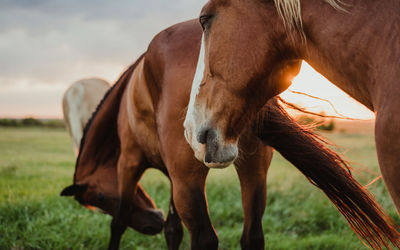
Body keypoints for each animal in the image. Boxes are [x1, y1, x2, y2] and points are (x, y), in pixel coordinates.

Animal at [62, 18, 400, 249]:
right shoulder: (172, 177)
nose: (152, 221)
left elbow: (118, 223)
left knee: (205, 239)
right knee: (252, 236)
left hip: (191, 178)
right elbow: (173, 229)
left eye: (99, 198)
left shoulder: (130, 163)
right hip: (252, 169)